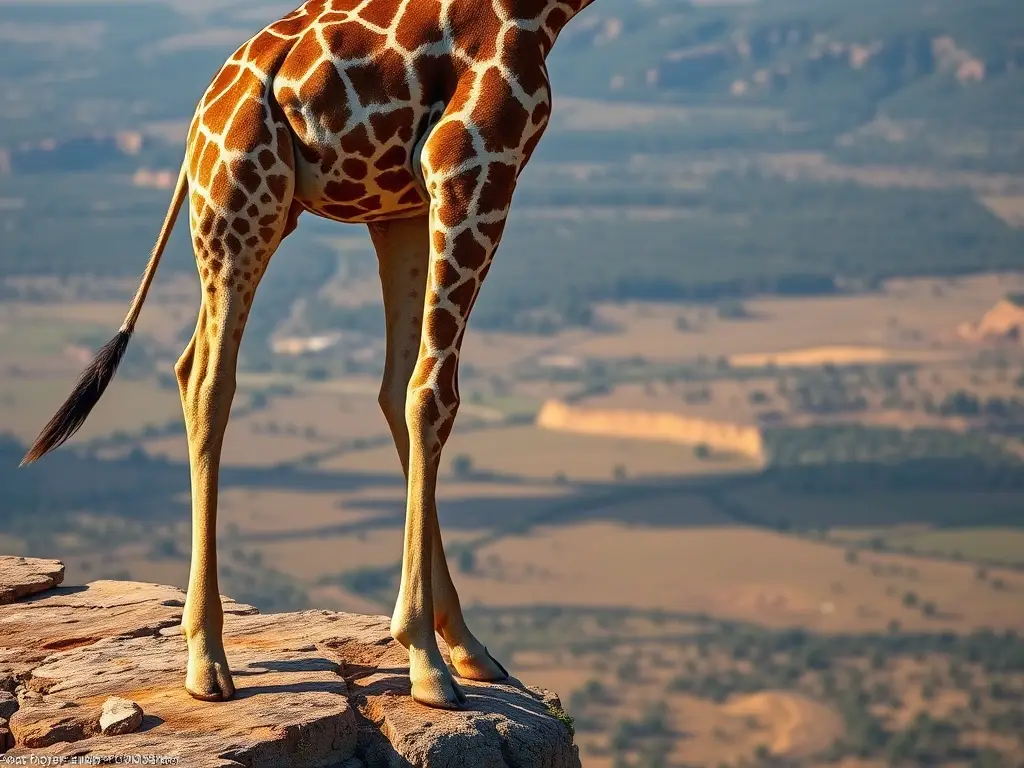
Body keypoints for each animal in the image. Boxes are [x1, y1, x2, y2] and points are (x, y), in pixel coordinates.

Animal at [21, 0, 596, 710]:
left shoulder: (403, 201)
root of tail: (196, 127)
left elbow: (399, 388)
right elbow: (433, 394)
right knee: (210, 379)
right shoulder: (475, 161)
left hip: (245, 211)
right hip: (242, 204)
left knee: (191, 367)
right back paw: (207, 660)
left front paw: (464, 646)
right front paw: (425, 663)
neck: (550, 14)